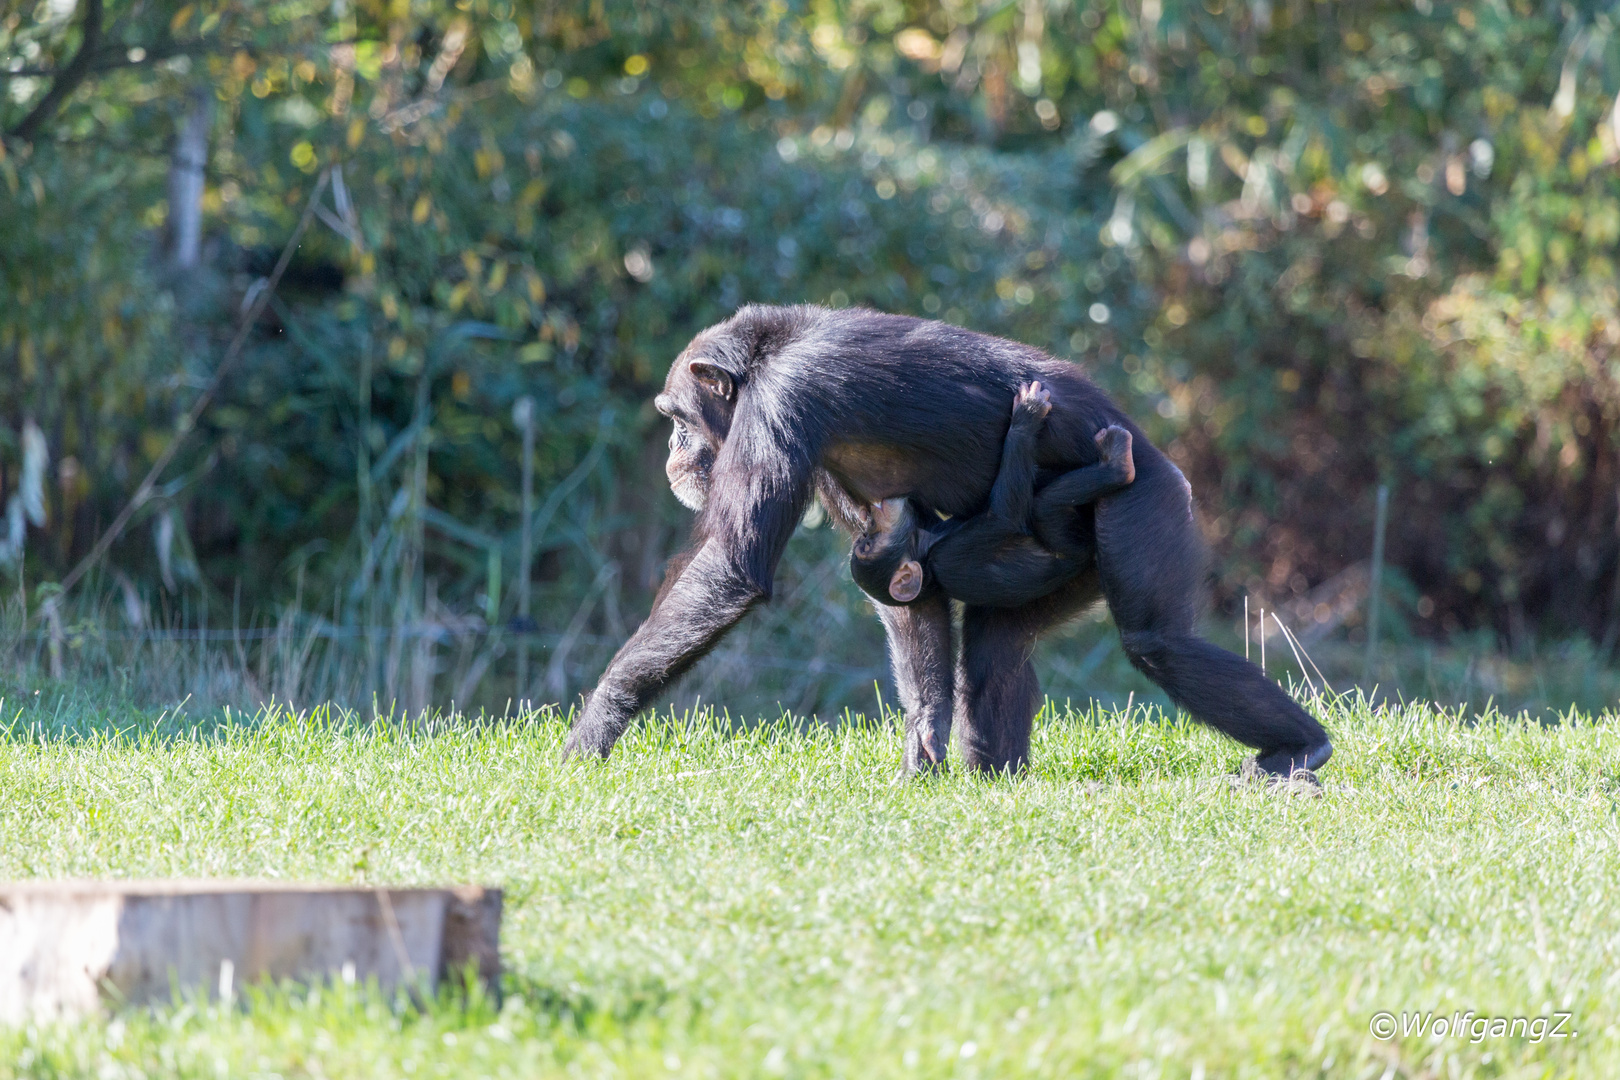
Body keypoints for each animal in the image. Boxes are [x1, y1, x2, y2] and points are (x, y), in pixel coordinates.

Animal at [848, 382, 1140, 612]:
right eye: (867, 546)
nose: (870, 525)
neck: (926, 549)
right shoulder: (949, 557)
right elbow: (1003, 517)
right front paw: (1027, 416)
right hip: (1075, 544)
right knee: (1043, 506)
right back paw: (1117, 464)